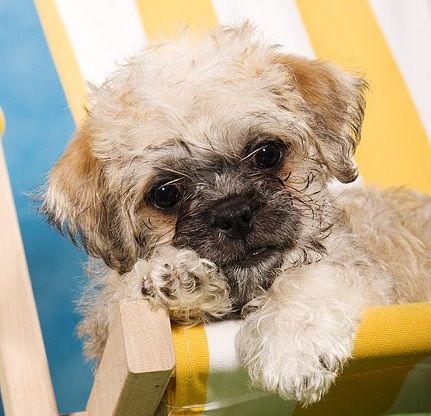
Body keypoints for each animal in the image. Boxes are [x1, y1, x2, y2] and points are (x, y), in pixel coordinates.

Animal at [41, 22, 431, 404]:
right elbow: (118, 297)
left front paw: (291, 342)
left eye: (267, 154)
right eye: (165, 194)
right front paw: (173, 280)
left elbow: (313, 276)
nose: (233, 214)